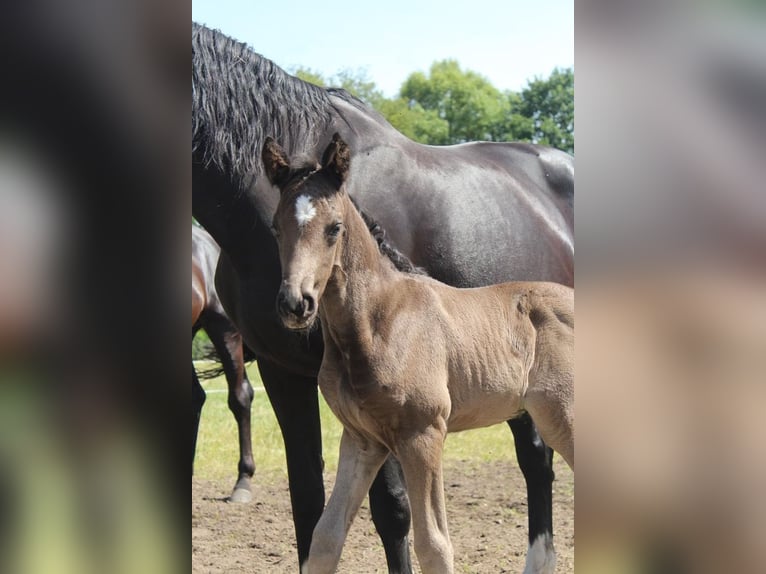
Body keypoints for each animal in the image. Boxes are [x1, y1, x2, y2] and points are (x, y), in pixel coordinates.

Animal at [266, 135, 576, 574]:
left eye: (334, 228)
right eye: (276, 227)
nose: (296, 304)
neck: (379, 320)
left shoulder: (423, 432)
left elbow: (434, 545)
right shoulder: (362, 439)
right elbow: (325, 537)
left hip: (563, 415)